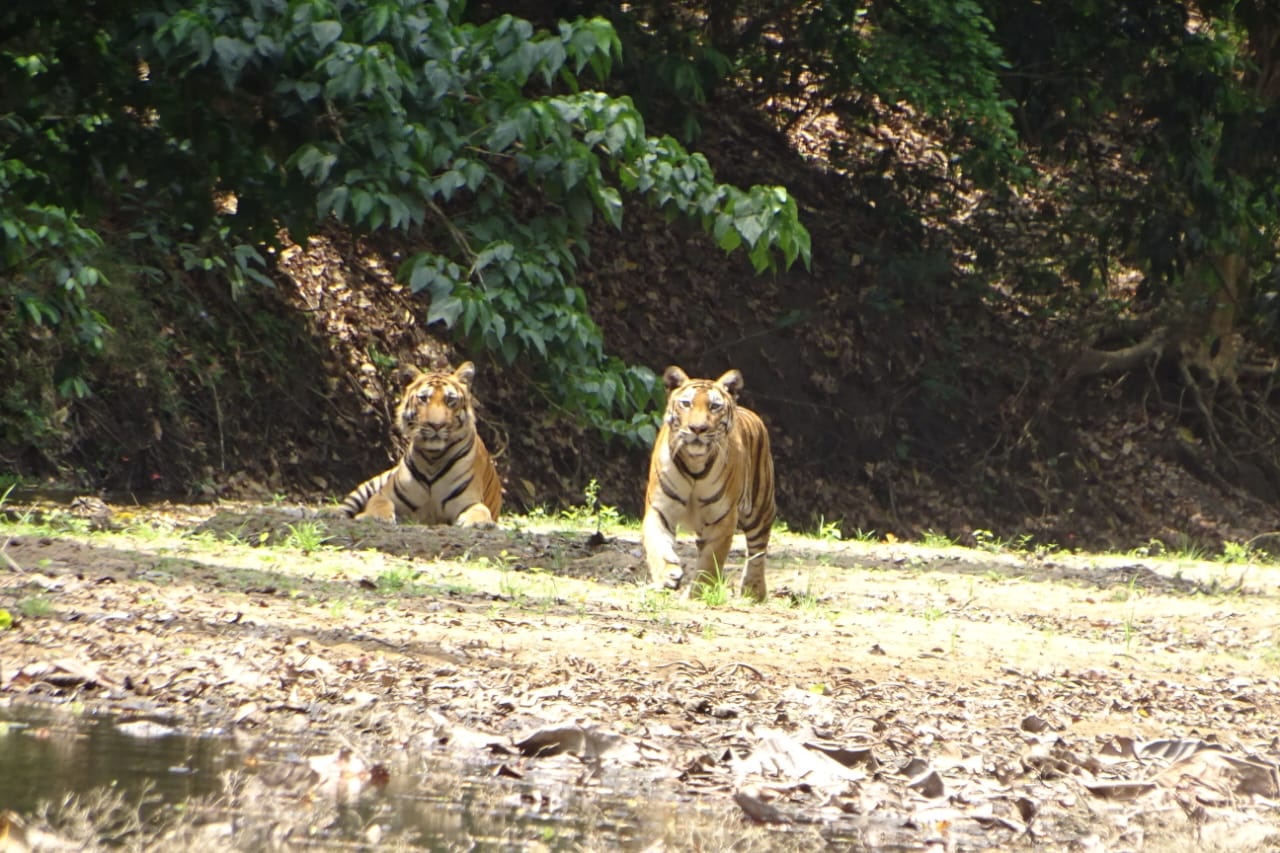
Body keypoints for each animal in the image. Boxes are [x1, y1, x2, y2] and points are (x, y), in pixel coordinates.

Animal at [339, 361, 502, 527]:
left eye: (450, 400)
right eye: (423, 398)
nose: (436, 425)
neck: (432, 459)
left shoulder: (469, 501)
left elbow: (480, 511)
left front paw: (478, 523)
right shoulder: (384, 494)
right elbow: (379, 504)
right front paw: (376, 517)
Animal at [642, 365, 776, 601]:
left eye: (714, 406)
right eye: (686, 403)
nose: (697, 428)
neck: (695, 464)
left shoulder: (722, 517)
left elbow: (711, 560)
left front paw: (698, 592)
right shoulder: (660, 507)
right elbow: (656, 544)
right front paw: (667, 575)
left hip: (760, 510)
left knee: (757, 551)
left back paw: (753, 591)